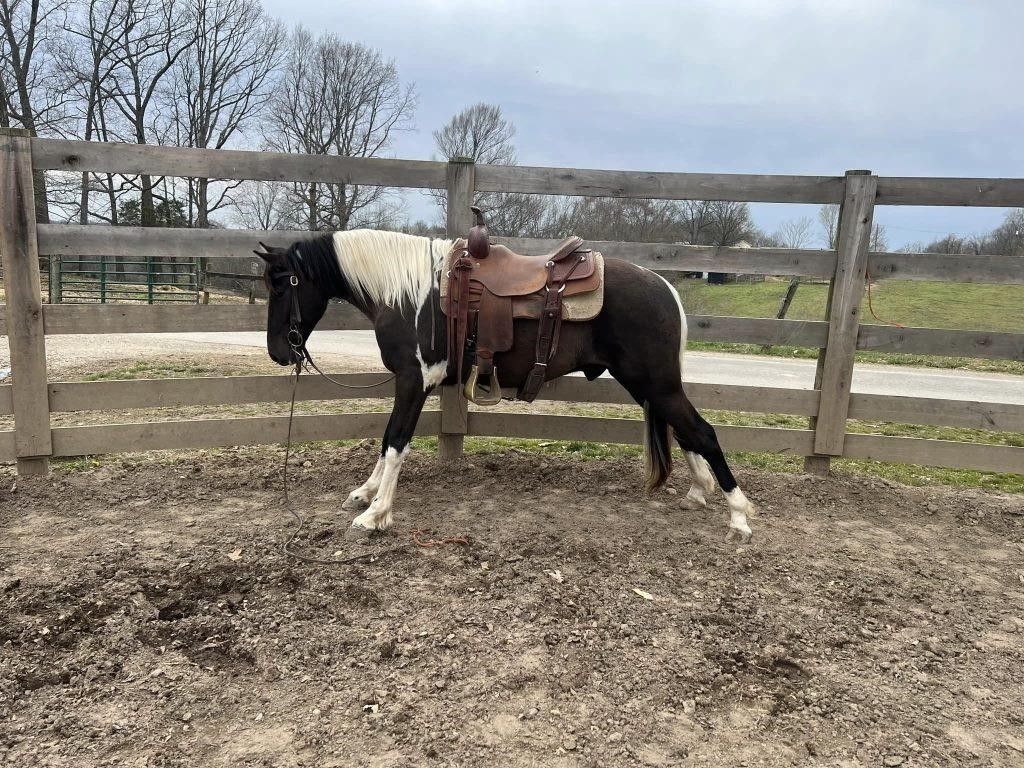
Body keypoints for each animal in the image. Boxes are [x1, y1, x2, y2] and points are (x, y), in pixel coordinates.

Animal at [252, 231, 757, 544]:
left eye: (280, 287)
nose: (279, 351)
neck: (411, 294)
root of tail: (664, 287)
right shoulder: (408, 382)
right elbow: (385, 442)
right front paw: (366, 492)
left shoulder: (415, 380)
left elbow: (395, 441)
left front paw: (375, 514)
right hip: (648, 385)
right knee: (685, 431)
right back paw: (699, 491)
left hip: (657, 382)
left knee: (703, 432)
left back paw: (738, 514)